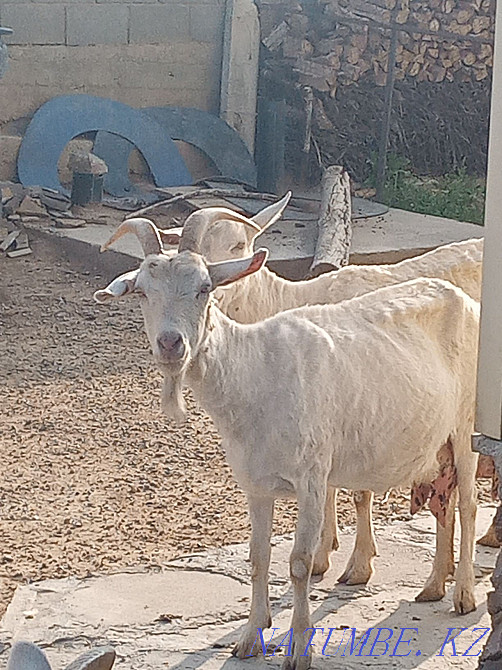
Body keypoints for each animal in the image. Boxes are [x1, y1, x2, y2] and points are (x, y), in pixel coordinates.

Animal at [95, 243, 479, 670]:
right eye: (142, 292)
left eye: (204, 288)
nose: (170, 344)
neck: (255, 371)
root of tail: (466, 300)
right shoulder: (255, 485)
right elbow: (259, 557)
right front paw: (249, 638)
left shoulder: (311, 478)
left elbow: (298, 563)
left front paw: (298, 650)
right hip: (440, 441)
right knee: (445, 501)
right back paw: (434, 585)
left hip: (467, 424)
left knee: (468, 504)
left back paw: (463, 594)